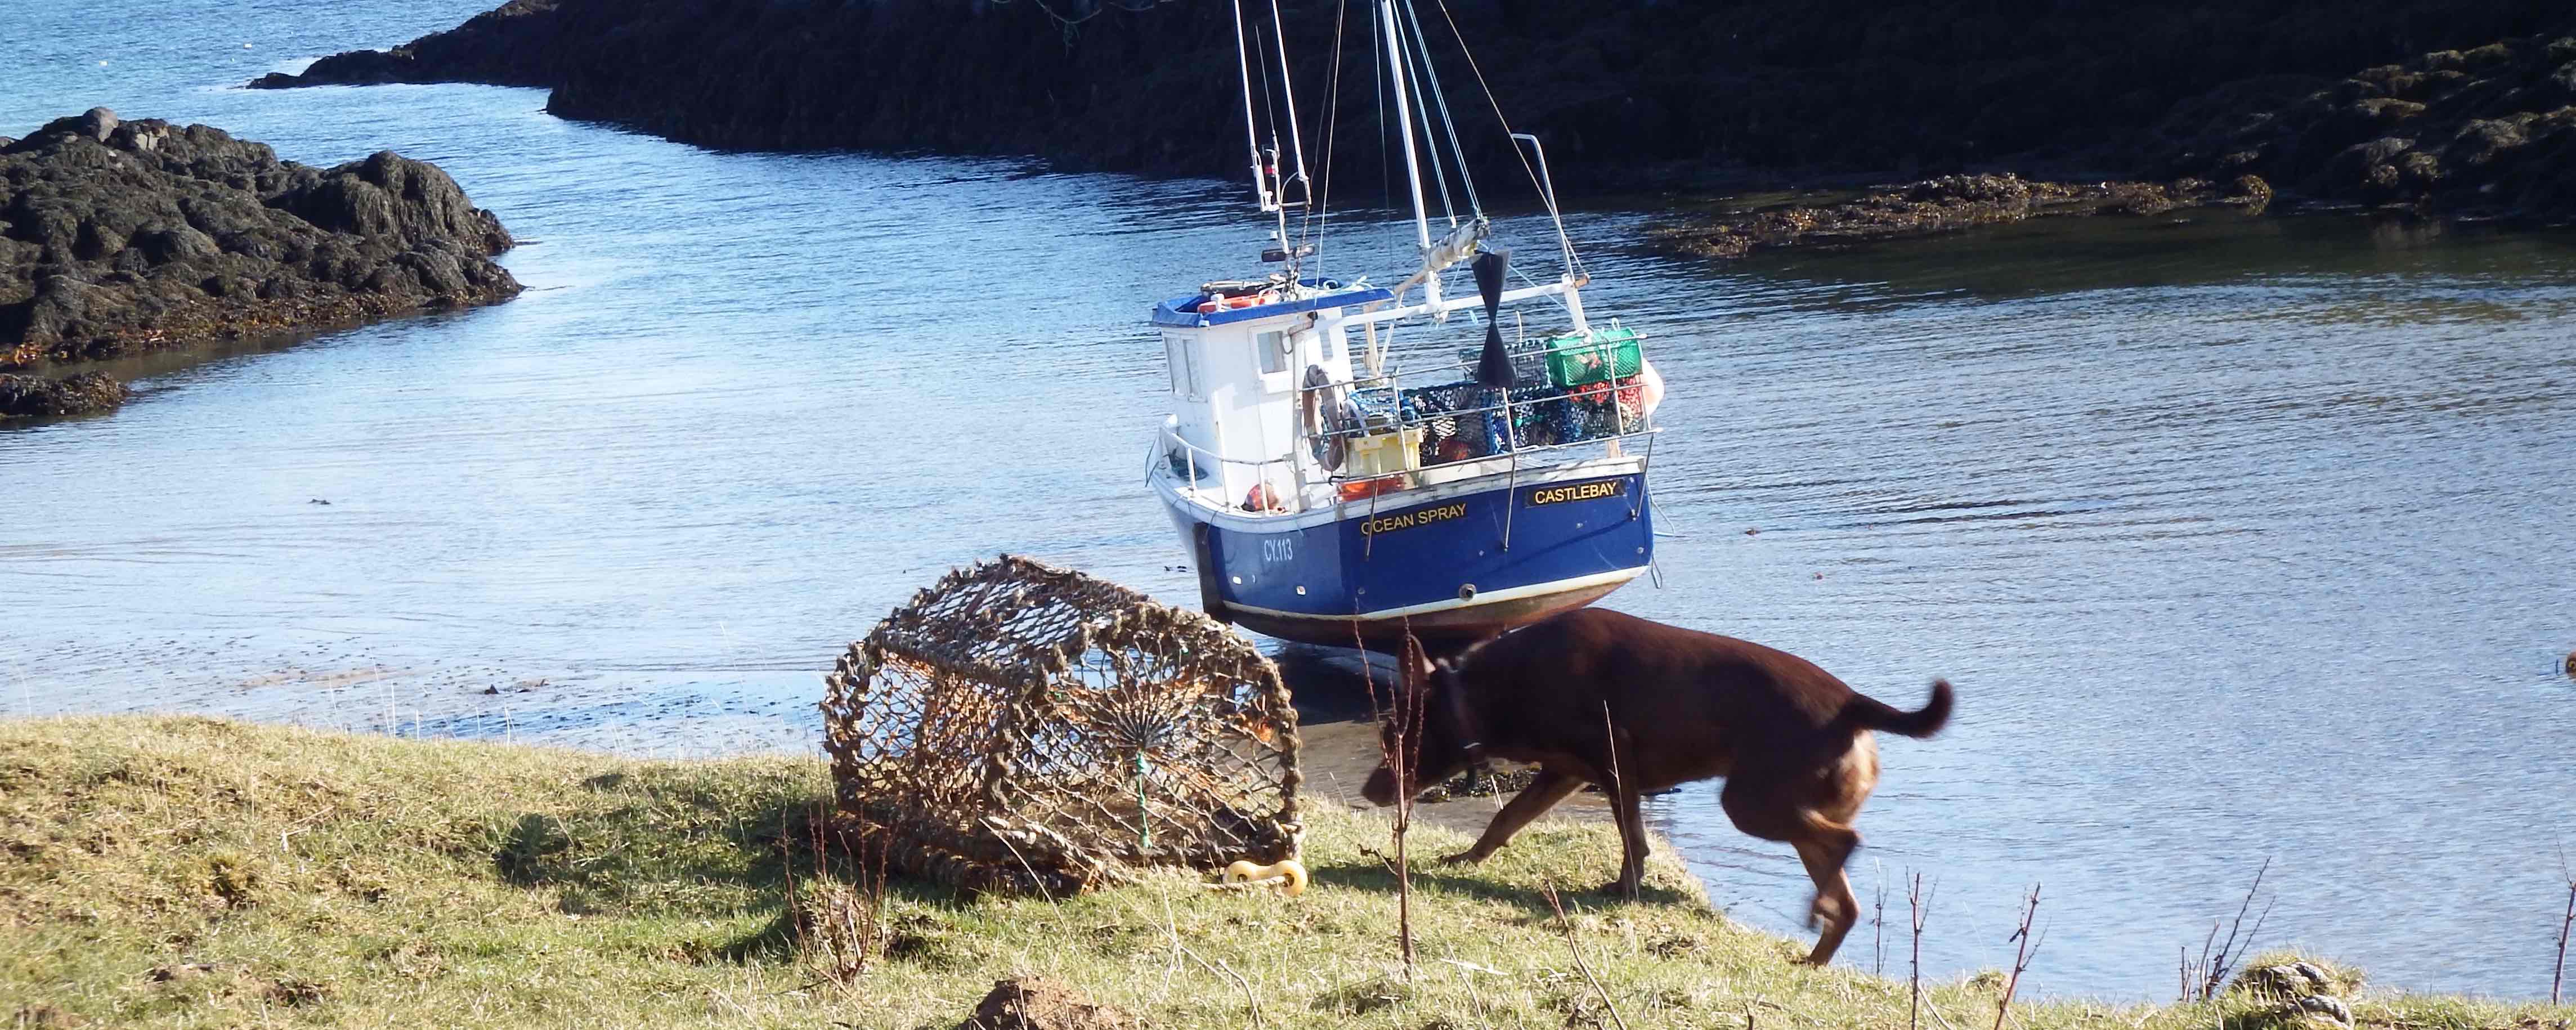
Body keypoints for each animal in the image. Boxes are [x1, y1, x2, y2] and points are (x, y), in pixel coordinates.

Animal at [1360, 607, 1937, 963]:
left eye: (1392, 735)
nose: (1369, 791)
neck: (1482, 692)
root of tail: (1851, 705)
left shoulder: (1614, 763)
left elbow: (1632, 839)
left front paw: (1626, 889)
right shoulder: (1565, 772)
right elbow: (1505, 819)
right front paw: (1465, 860)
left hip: (1751, 802)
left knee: (1845, 844)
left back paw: (1816, 914)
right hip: (1783, 807)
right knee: (1846, 897)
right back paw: (1812, 959)